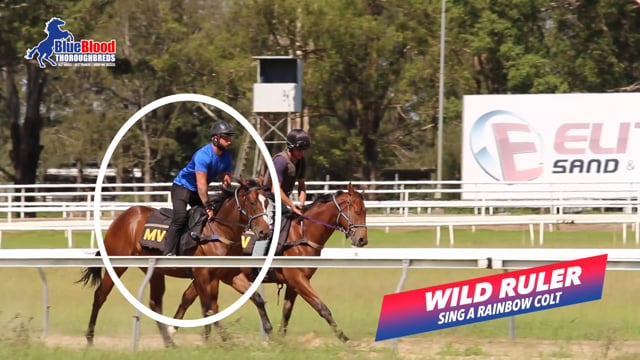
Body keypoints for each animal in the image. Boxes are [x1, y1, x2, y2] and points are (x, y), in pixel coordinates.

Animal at [77, 179, 272, 348]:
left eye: (267, 204)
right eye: (253, 202)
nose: (265, 232)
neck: (219, 232)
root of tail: (121, 218)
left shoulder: (229, 275)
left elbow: (256, 298)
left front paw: (269, 330)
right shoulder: (203, 274)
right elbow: (208, 307)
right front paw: (218, 339)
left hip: (154, 270)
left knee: (154, 303)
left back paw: (169, 341)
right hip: (117, 265)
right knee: (100, 295)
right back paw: (89, 338)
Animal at [171, 183, 370, 344]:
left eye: (365, 211)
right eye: (357, 211)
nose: (362, 240)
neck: (302, 234)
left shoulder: (293, 283)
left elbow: (287, 312)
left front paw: (281, 338)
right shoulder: (298, 279)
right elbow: (322, 307)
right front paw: (344, 338)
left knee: (190, 297)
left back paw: (175, 332)